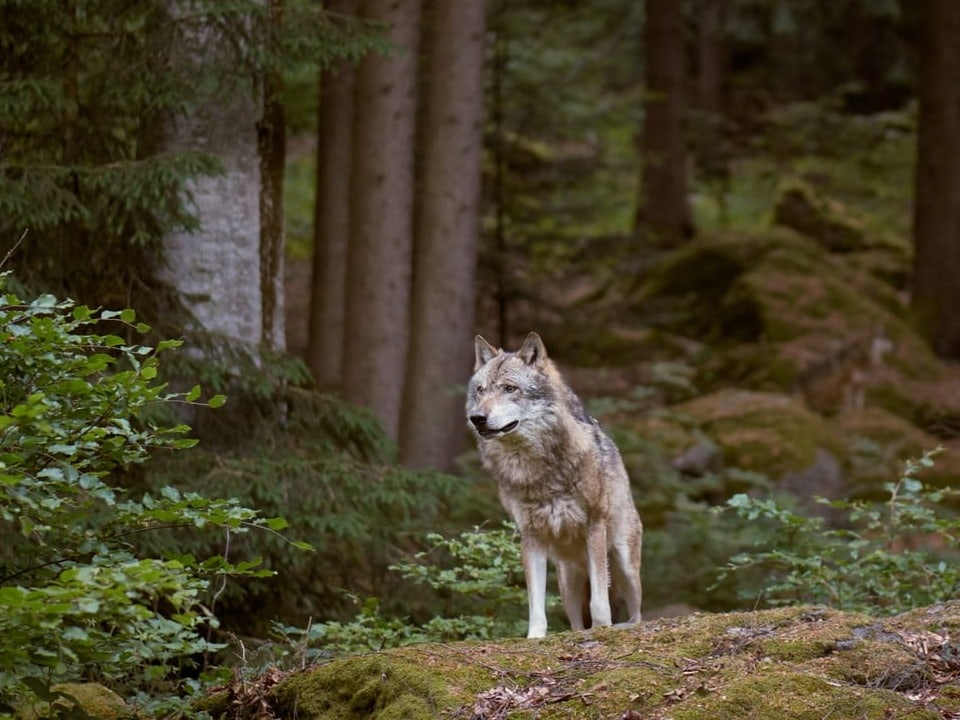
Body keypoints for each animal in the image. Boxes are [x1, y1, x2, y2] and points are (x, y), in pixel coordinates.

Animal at [466, 330, 644, 640]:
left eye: (510, 389)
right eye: (480, 390)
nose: (477, 418)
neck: (535, 469)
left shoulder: (594, 524)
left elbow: (599, 602)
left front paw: (602, 629)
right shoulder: (530, 536)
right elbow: (536, 605)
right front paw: (535, 638)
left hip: (625, 568)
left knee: (637, 614)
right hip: (567, 583)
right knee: (575, 623)